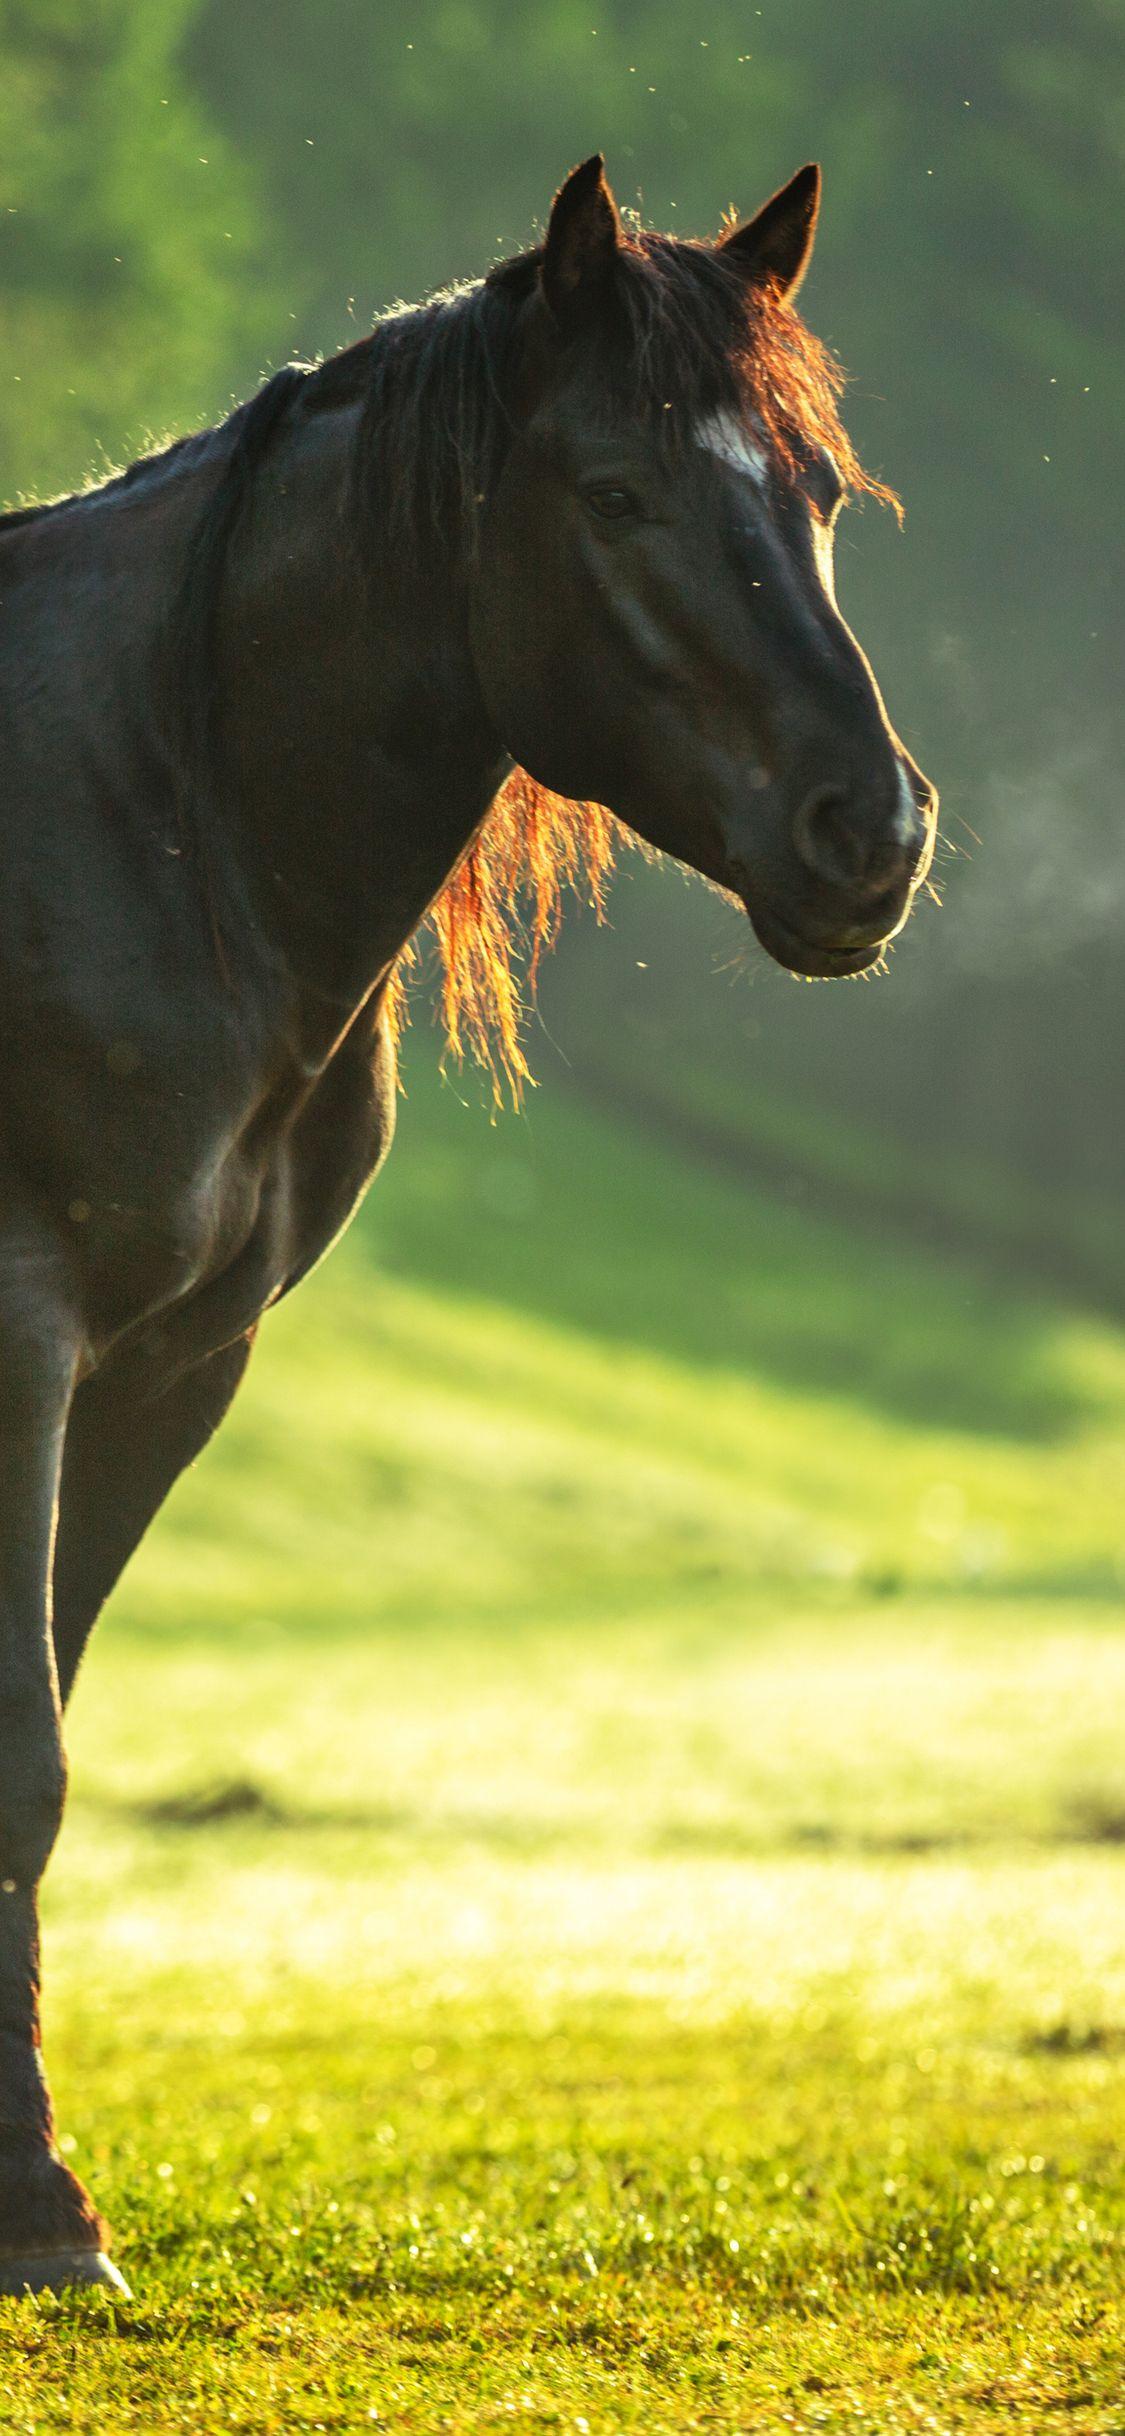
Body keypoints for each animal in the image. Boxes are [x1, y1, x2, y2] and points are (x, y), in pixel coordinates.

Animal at [0, 155, 936, 2296]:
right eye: (613, 493)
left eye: (817, 493)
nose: (870, 832)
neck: (147, 811)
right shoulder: (21, 1341)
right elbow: (20, 1751)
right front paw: (30, 2209)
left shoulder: (164, 1370)